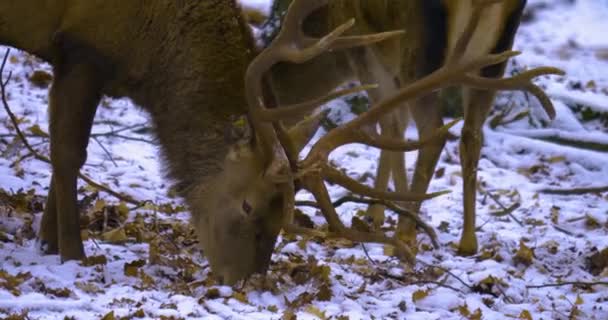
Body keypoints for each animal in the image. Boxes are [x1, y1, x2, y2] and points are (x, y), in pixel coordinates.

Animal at [266, 0, 556, 255]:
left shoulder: (365, 46)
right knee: (472, 133)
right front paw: (380, 210)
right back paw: (467, 242)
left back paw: (403, 235)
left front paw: (384, 211)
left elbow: (390, 126)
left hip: (420, 50)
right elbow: (396, 126)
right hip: (494, 57)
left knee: (434, 132)